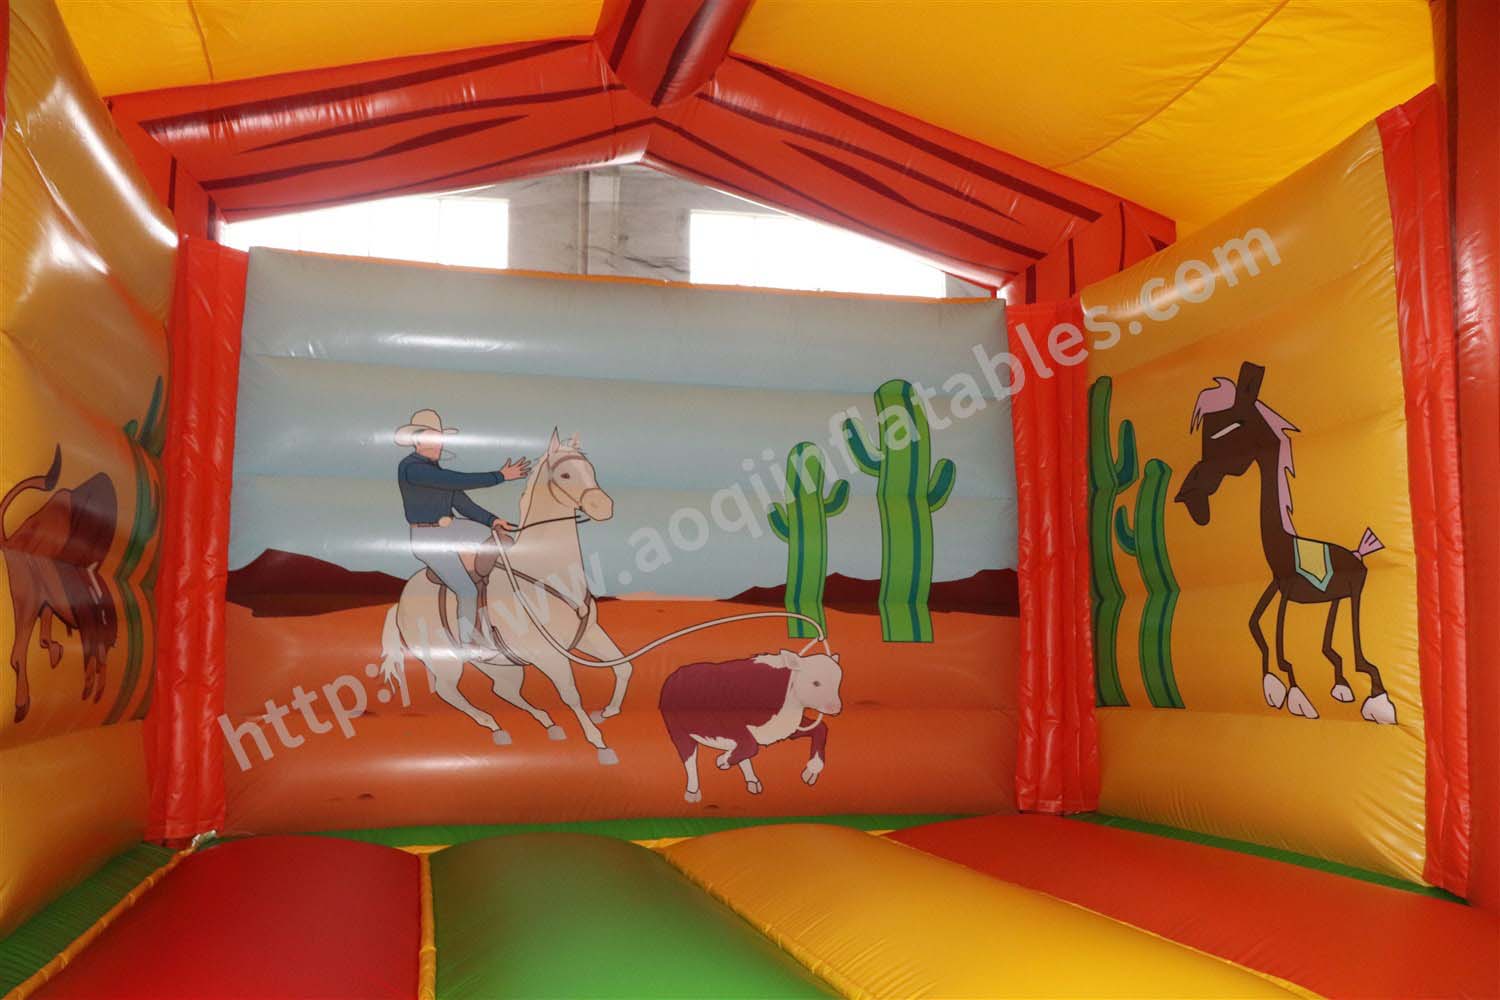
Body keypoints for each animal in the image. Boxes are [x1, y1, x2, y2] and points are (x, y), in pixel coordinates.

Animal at [379, 430, 635, 764]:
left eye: (590, 469)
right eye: (565, 474)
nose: (603, 506)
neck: (544, 570)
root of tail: (400, 602)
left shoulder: (589, 634)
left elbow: (623, 667)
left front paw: (608, 712)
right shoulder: (548, 654)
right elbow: (570, 693)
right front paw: (600, 743)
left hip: (499, 661)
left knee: (504, 691)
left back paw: (548, 723)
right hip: (446, 662)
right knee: (450, 693)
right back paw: (495, 726)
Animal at [659, 648, 843, 803]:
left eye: (838, 682)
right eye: (816, 683)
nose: (836, 708)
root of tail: (674, 675)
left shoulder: (781, 727)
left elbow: (821, 728)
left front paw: (812, 770)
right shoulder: (727, 723)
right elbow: (751, 746)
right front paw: (722, 760)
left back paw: (752, 779)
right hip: (678, 731)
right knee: (689, 759)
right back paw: (693, 791)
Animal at [1173, 362, 1395, 725]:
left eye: (1228, 429)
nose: (1188, 495)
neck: (1282, 546)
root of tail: (1356, 553)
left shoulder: (1288, 591)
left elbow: (1280, 648)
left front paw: (1297, 697)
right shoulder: (1277, 587)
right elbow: (1255, 626)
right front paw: (1272, 687)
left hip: (1355, 589)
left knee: (1357, 649)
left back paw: (1376, 698)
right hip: (1334, 597)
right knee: (1328, 646)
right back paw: (1342, 685)